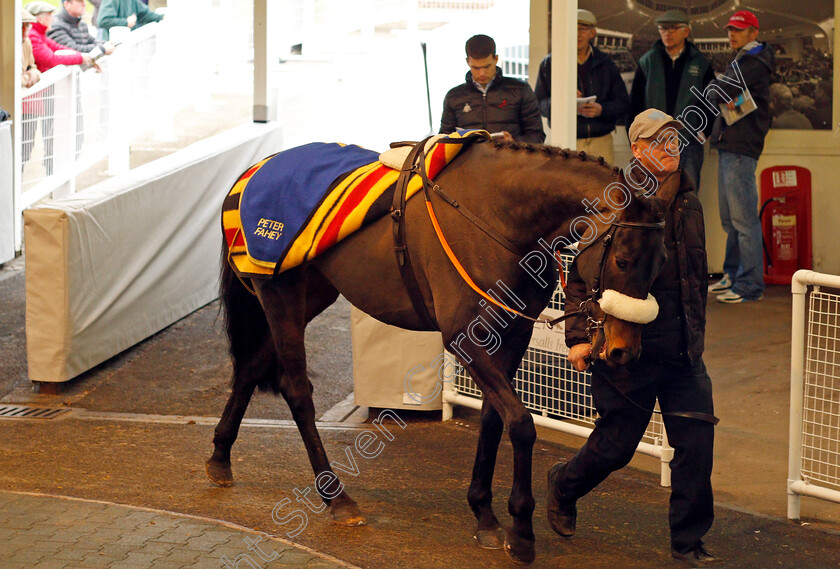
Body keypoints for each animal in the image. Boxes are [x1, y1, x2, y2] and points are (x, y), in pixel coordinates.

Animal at [205, 134, 684, 564]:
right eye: (622, 260)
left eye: (661, 262)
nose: (624, 351)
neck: (494, 217)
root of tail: (252, 172)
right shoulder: (464, 336)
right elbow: (521, 423)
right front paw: (521, 529)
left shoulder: (510, 334)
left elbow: (494, 418)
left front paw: (484, 513)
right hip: (278, 291)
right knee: (297, 391)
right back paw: (336, 496)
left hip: (311, 291)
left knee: (250, 367)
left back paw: (220, 457)